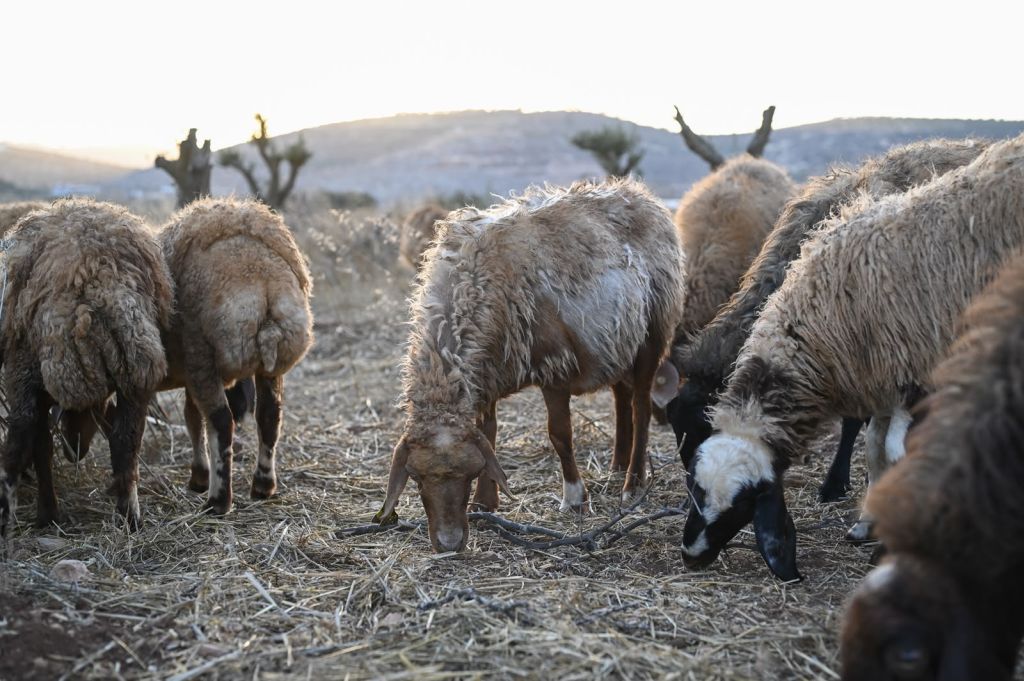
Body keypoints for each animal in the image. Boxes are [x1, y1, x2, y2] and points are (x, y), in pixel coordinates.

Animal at [0, 198, 174, 534]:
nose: (75, 451)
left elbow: (41, 444)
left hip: (27, 364)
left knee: (21, 435)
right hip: (137, 365)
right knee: (126, 440)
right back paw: (130, 517)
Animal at [374, 178, 684, 553]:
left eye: (466, 473)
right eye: (417, 478)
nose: (449, 543)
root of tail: (638, 192)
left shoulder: (555, 368)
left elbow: (560, 436)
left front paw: (575, 498)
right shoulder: (486, 376)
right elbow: (489, 431)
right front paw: (484, 503)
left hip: (653, 331)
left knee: (640, 406)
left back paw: (632, 483)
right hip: (619, 340)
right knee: (621, 398)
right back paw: (616, 466)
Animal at [679, 133, 1024, 581]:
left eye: (743, 504)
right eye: (695, 484)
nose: (690, 554)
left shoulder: (914, 370)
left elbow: (891, 446)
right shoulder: (881, 371)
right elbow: (876, 445)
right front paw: (868, 523)